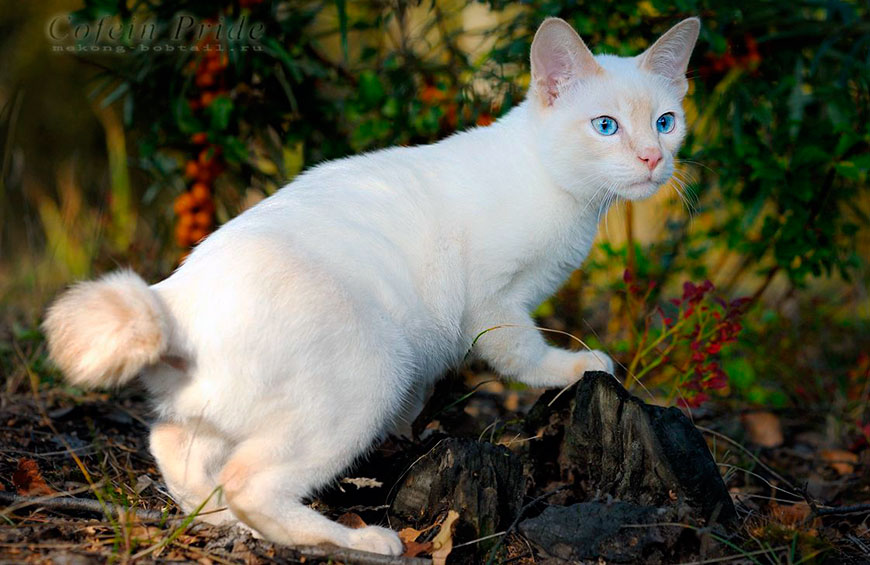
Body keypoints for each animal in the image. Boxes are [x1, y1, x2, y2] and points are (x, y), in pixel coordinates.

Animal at [44, 17, 704, 556]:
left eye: (666, 123)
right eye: (605, 126)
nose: (652, 159)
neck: (563, 190)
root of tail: (170, 301)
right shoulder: (493, 301)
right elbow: (521, 352)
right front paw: (576, 366)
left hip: (220, 415)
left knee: (174, 448)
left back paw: (225, 526)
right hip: (371, 372)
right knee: (248, 483)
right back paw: (359, 542)